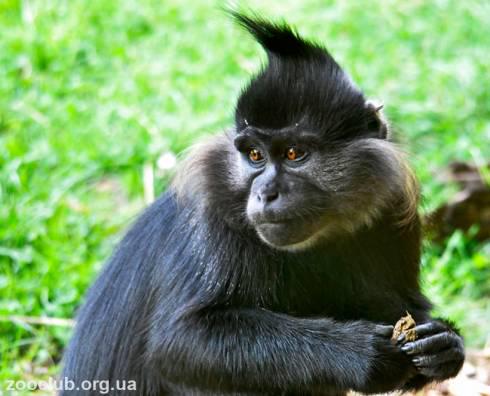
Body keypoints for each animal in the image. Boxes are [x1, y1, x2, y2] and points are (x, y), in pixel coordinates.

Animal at [59, 13, 466, 396]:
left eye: (294, 153)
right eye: (254, 155)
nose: (265, 193)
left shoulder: (393, 206)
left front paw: (444, 345)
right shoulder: (213, 216)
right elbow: (179, 342)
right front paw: (360, 353)